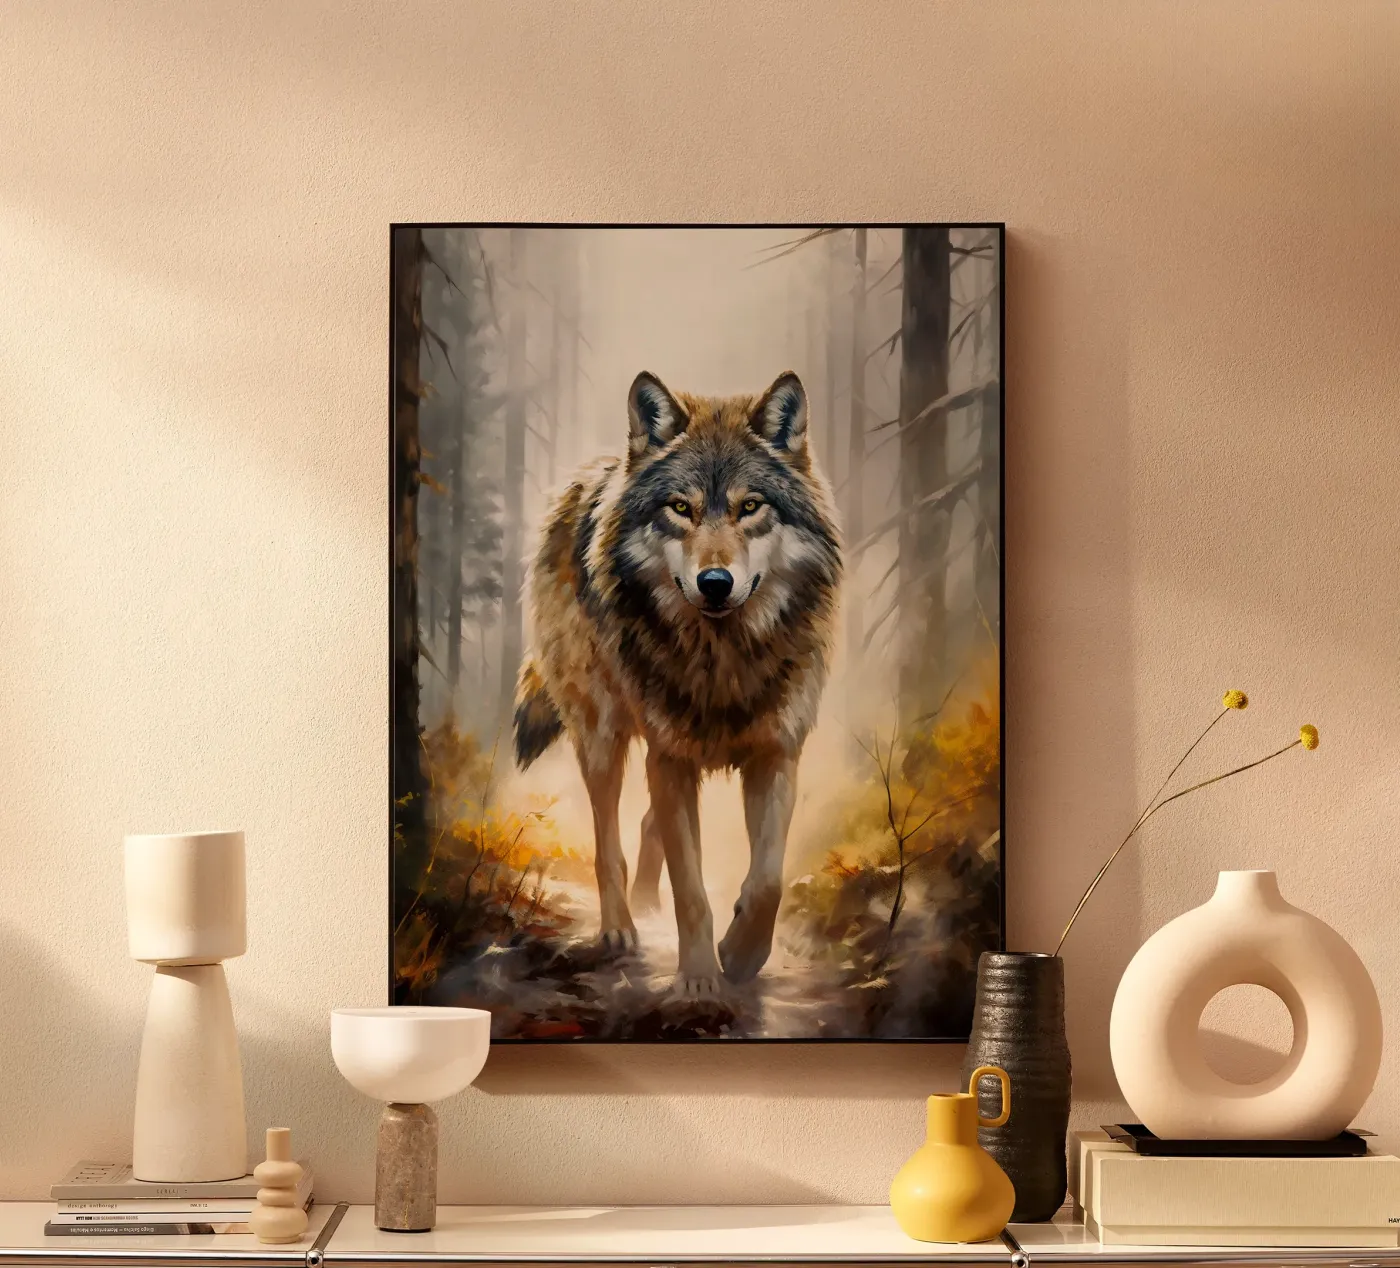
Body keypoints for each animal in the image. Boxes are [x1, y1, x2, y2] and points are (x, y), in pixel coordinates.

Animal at [512, 370, 842, 996]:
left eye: (750, 506)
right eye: (680, 508)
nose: (715, 582)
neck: (723, 660)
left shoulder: (775, 753)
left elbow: (767, 882)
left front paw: (740, 954)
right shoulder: (670, 757)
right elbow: (690, 888)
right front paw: (698, 979)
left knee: (648, 826)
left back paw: (646, 903)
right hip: (603, 736)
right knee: (609, 843)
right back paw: (621, 927)